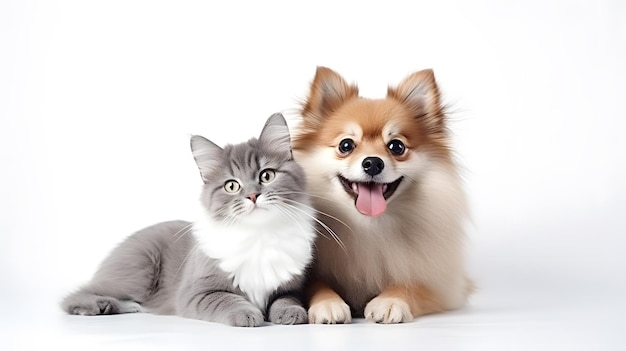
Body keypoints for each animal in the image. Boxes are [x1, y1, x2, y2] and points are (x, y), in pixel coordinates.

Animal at [60, 113, 314, 328]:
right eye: (232, 186)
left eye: (267, 175)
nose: (252, 195)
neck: (259, 236)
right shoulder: (197, 292)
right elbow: (228, 300)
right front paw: (247, 314)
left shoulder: (290, 288)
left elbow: (286, 300)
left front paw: (291, 313)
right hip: (139, 274)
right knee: (75, 295)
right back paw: (99, 306)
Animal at [290, 66, 470, 324]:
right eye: (346, 145)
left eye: (396, 147)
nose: (373, 163)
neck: (369, 226)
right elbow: (318, 285)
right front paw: (329, 304)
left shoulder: (440, 286)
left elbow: (410, 284)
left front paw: (390, 301)